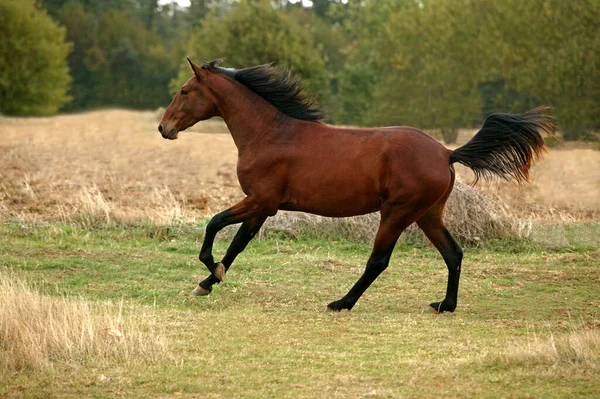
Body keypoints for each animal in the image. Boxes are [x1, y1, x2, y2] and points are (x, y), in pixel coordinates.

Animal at [158, 59, 552, 314]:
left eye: (185, 90)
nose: (164, 128)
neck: (270, 134)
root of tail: (446, 153)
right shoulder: (263, 206)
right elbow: (238, 243)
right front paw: (208, 282)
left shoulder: (259, 201)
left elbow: (214, 224)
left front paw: (210, 272)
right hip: (428, 214)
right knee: (453, 253)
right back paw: (445, 305)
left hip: (397, 213)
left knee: (378, 261)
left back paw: (341, 302)